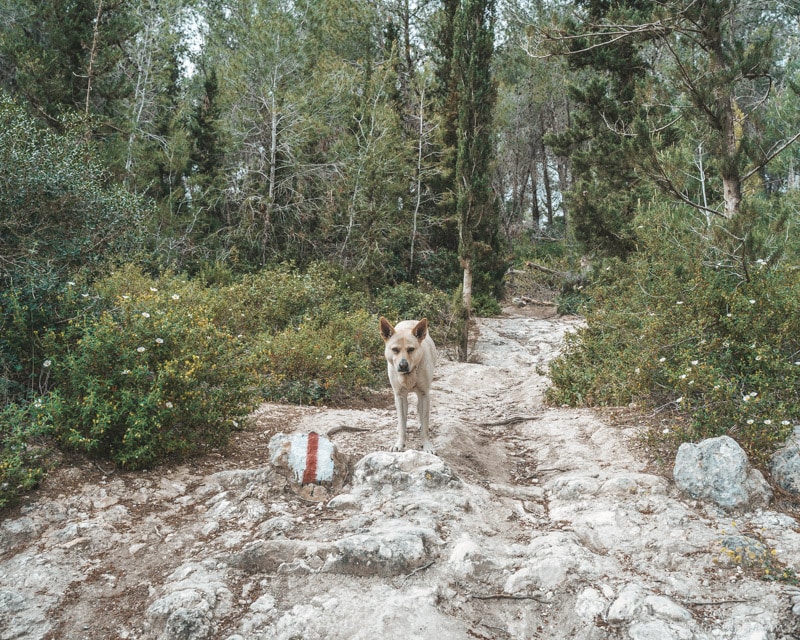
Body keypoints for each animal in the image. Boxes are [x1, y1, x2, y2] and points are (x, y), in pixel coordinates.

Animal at [380, 316, 438, 456]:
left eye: (411, 349)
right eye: (395, 349)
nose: (403, 365)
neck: (409, 375)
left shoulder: (424, 394)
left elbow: (425, 422)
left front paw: (426, 445)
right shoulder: (400, 397)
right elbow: (402, 424)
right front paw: (399, 444)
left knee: (419, 410)